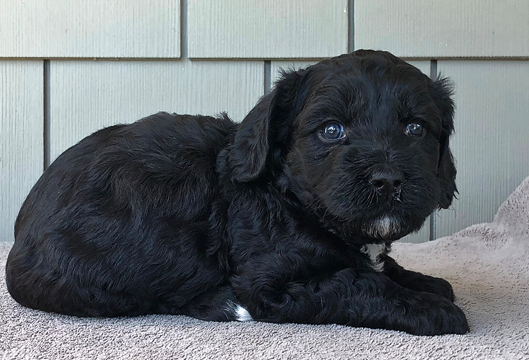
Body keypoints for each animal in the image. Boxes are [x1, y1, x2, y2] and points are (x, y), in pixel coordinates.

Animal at [4, 50, 466, 334]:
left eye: (416, 128)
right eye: (332, 130)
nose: (387, 178)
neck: (291, 200)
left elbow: (380, 268)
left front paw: (425, 282)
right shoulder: (269, 284)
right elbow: (356, 283)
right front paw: (431, 309)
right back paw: (222, 304)